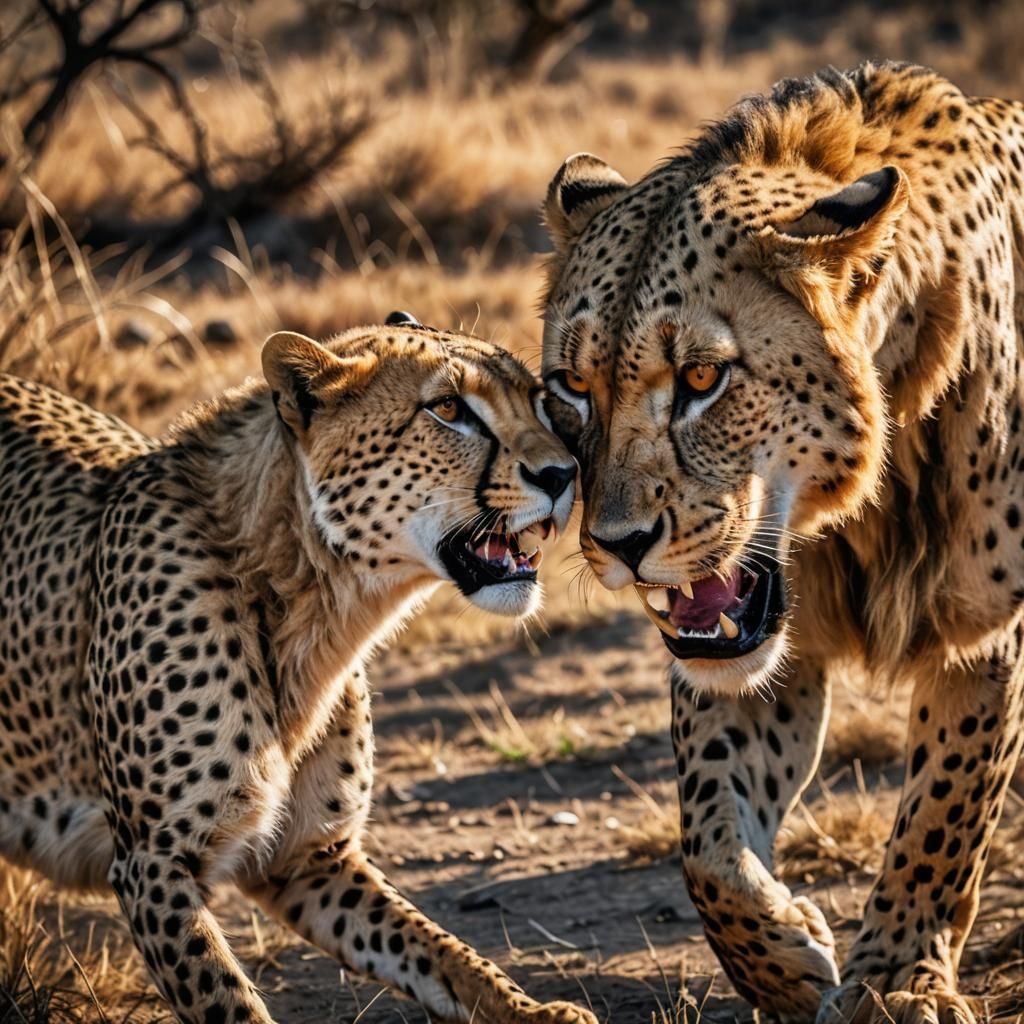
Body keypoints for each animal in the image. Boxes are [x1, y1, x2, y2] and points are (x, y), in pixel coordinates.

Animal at [0, 312, 595, 1024]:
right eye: (449, 408)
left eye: (538, 401)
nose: (563, 474)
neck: (311, 599)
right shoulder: (154, 864)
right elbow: (229, 1001)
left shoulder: (308, 858)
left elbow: (441, 953)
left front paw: (537, 1011)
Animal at [538, 62, 1024, 1023]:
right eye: (570, 387)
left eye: (701, 378)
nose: (618, 544)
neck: (857, 510)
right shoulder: (747, 644)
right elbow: (705, 832)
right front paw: (786, 963)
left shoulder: (985, 632)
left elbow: (945, 806)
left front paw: (894, 980)